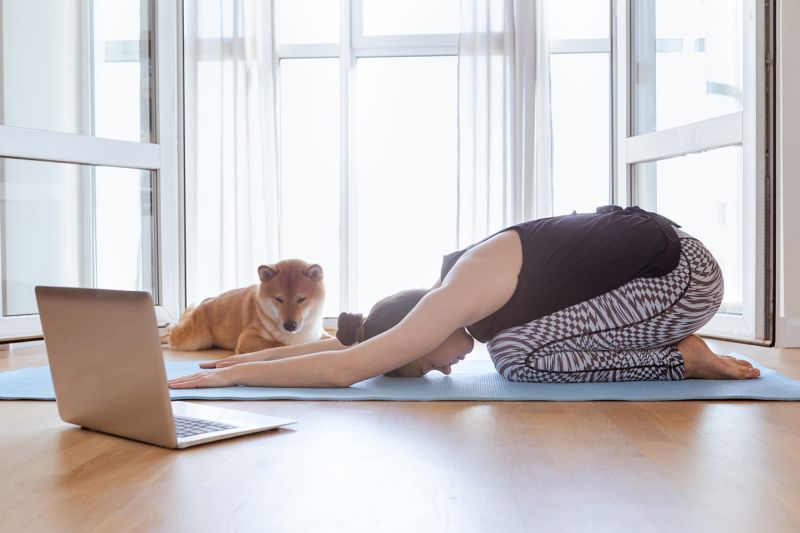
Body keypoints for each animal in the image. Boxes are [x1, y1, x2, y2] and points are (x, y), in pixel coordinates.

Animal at [162, 258, 328, 354]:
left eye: (301, 299)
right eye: (278, 299)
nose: (289, 325)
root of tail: (206, 301)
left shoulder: (319, 334)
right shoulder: (247, 338)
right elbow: (281, 344)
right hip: (195, 341)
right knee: (172, 333)